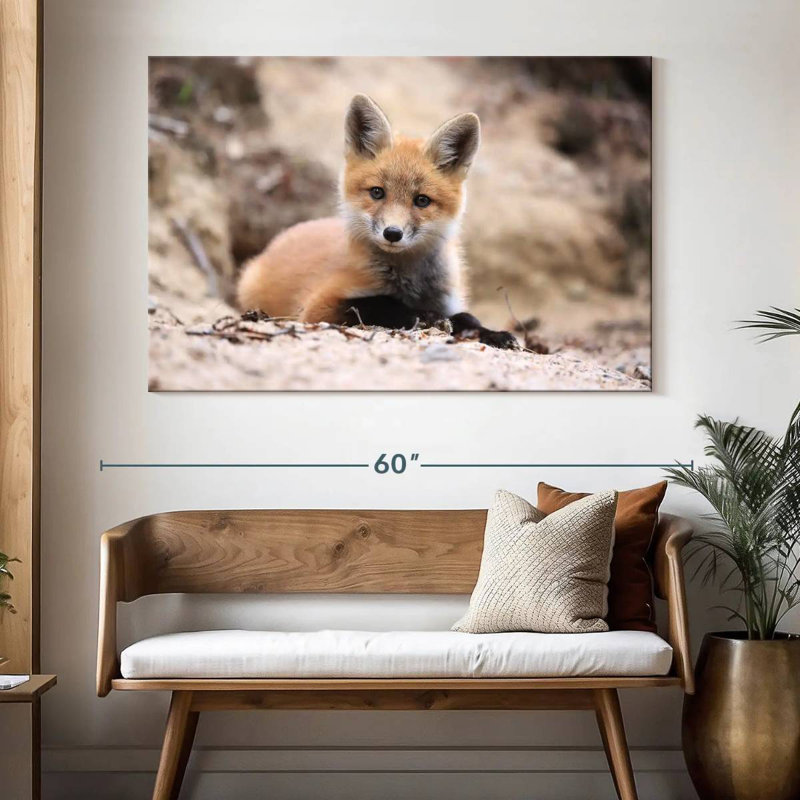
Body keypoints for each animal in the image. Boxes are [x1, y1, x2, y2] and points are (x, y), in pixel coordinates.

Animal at [236, 94, 516, 349]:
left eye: (422, 200)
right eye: (377, 192)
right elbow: (379, 303)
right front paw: (425, 316)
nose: (392, 233)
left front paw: (494, 334)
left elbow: (469, 318)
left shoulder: (449, 300)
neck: (410, 283)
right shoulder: (317, 307)